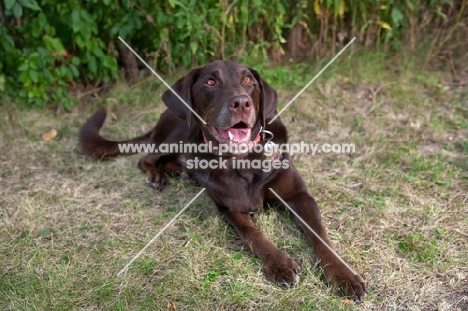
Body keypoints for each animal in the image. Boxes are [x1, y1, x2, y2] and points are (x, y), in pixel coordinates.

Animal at [79, 59, 366, 302]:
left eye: (248, 80)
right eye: (210, 82)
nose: (241, 103)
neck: (243, 160)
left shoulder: (299, 196)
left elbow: (321, 236)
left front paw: (344, 276)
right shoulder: (230, 208)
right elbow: (253, 235)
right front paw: (280, 264)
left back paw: (181, 171)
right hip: (177, 133)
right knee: (146, 156)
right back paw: (157, 174)